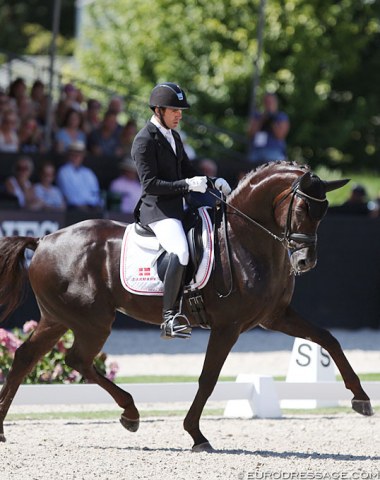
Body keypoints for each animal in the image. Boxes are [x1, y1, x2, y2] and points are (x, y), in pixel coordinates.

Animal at [0, 163, 374, 452]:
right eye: (300, 210)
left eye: (323, 214)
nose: (305, 262)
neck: (245, 239)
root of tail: (44, 240)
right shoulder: (228, 326)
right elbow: (208, 378)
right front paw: (196, 434)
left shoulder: (274, 317)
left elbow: (328, 339)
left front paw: (361, 398)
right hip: (91, 322)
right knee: (77, 360)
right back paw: (130, 413)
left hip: (57, 319)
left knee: (25, 358)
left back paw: (4, 429)